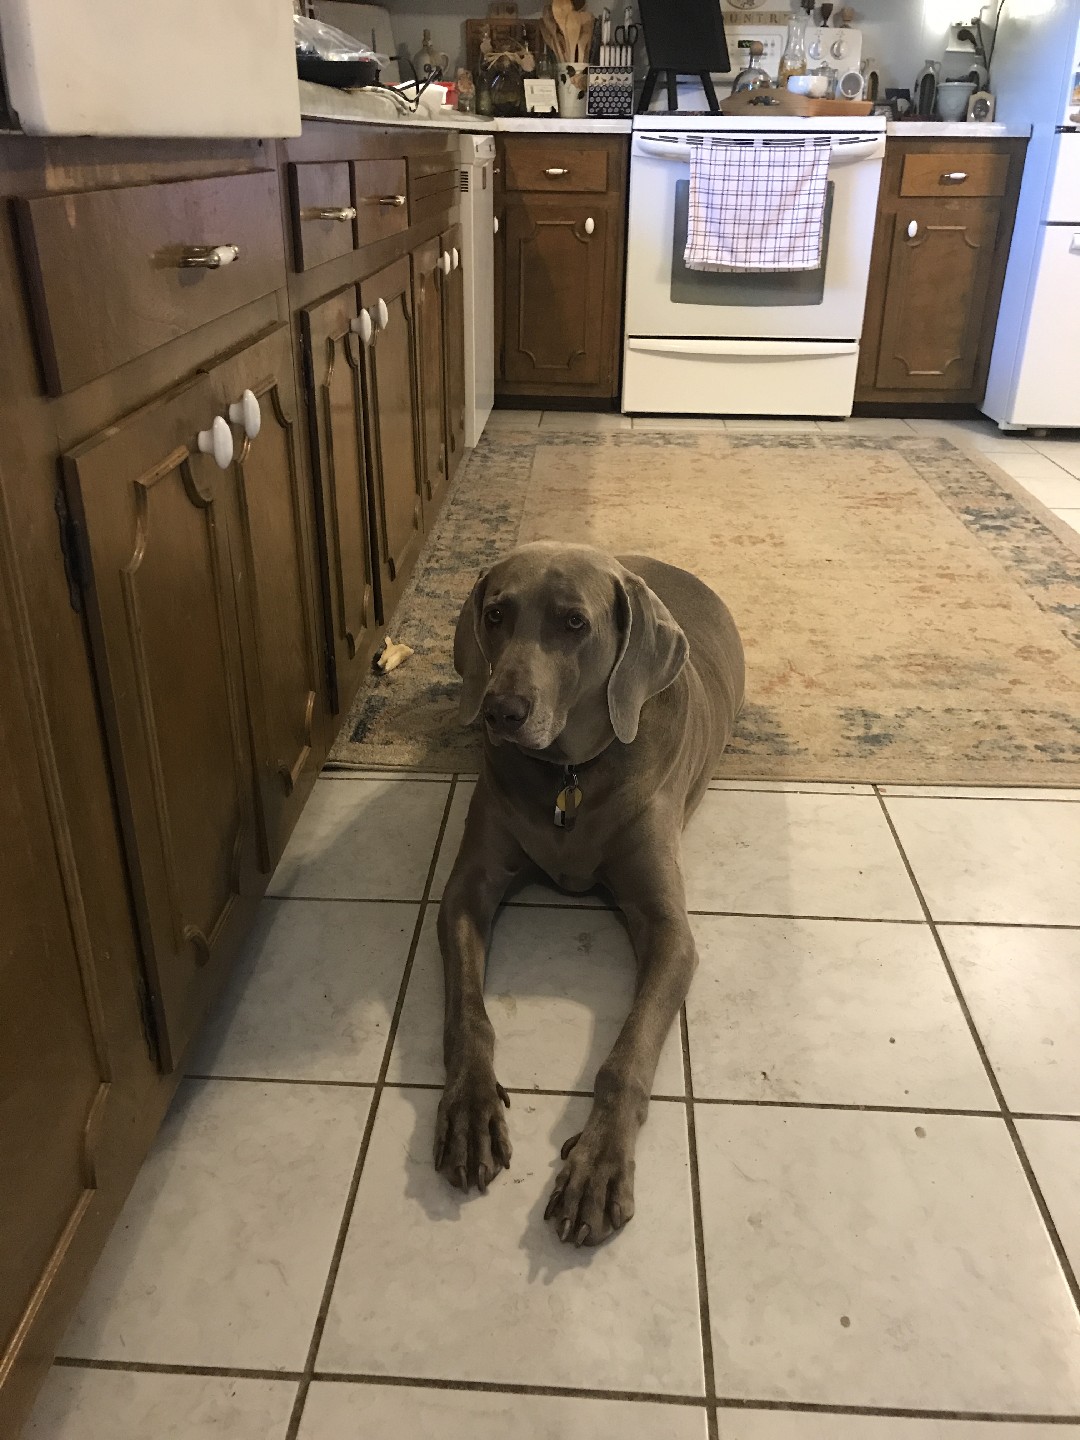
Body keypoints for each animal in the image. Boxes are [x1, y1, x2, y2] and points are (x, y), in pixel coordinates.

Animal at [434, 544, 748, 1244]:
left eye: (574, 623)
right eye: (496, 613)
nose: (500, 711)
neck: (569, 776)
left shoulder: (668, 929)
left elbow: (626, 1058)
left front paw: (599, 1165)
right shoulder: (467, 891)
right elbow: (468, 1015)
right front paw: (470, 1109)